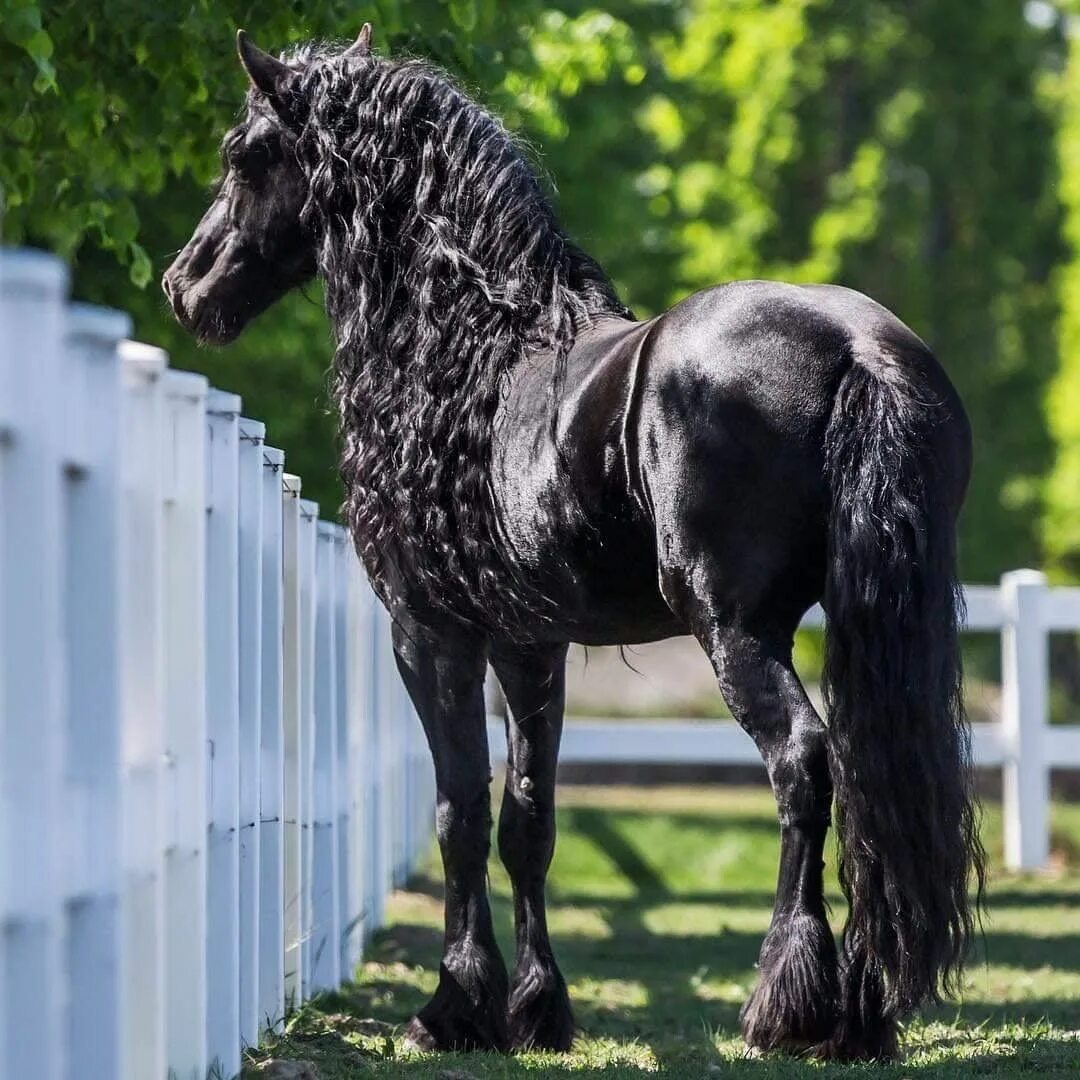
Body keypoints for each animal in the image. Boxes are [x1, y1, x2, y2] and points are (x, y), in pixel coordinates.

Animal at [164, 27, 984, 1062]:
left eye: (245, 155)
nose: (184, 285)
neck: (467, 356)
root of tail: (856, 344)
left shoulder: (430, 634)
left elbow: (461, 812)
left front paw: (453, 1007)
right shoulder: (531, 645)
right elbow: (530, 821)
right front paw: (537, 1009)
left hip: (735, 628)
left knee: (803, 763)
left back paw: (785, 1003)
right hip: (877, 626)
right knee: (882, 786)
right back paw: (863, 1016)